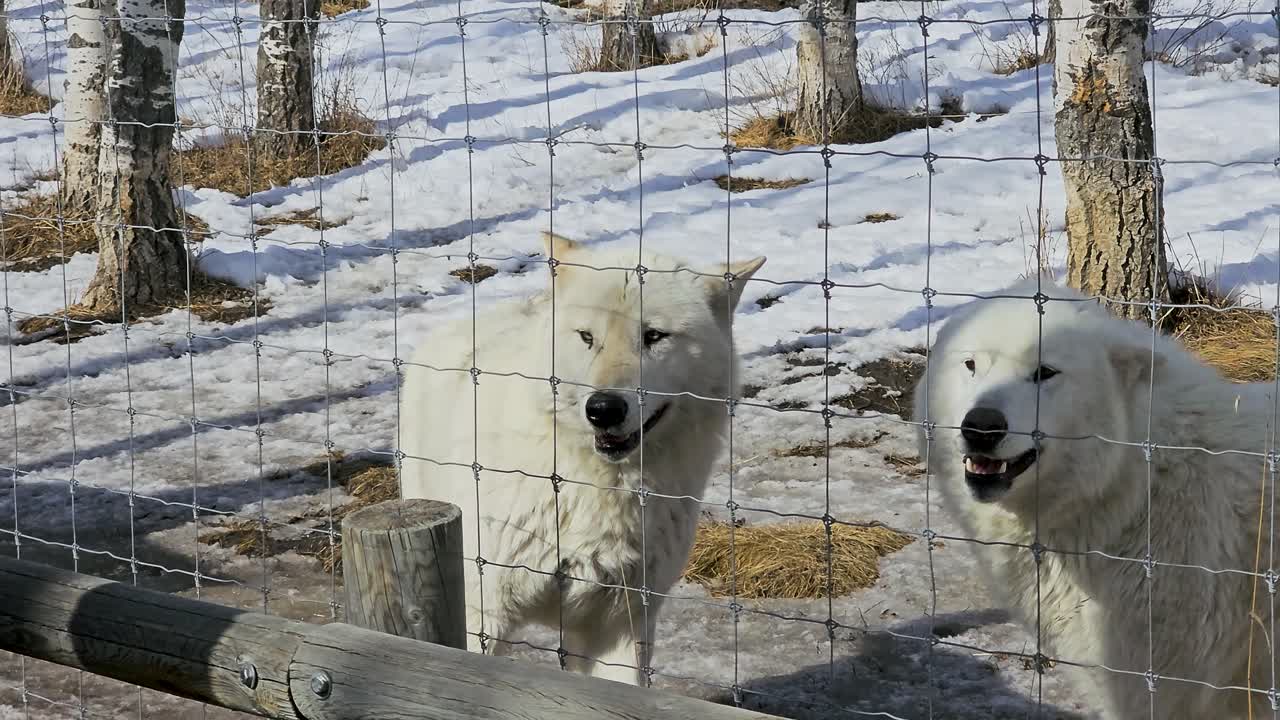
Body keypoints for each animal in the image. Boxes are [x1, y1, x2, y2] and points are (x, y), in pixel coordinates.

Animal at [399, 232, 765, 686]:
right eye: (587, 337)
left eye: (654, 336)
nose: (603, 409)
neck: (593, 488)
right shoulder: (483, 613)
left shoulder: (621, 625)